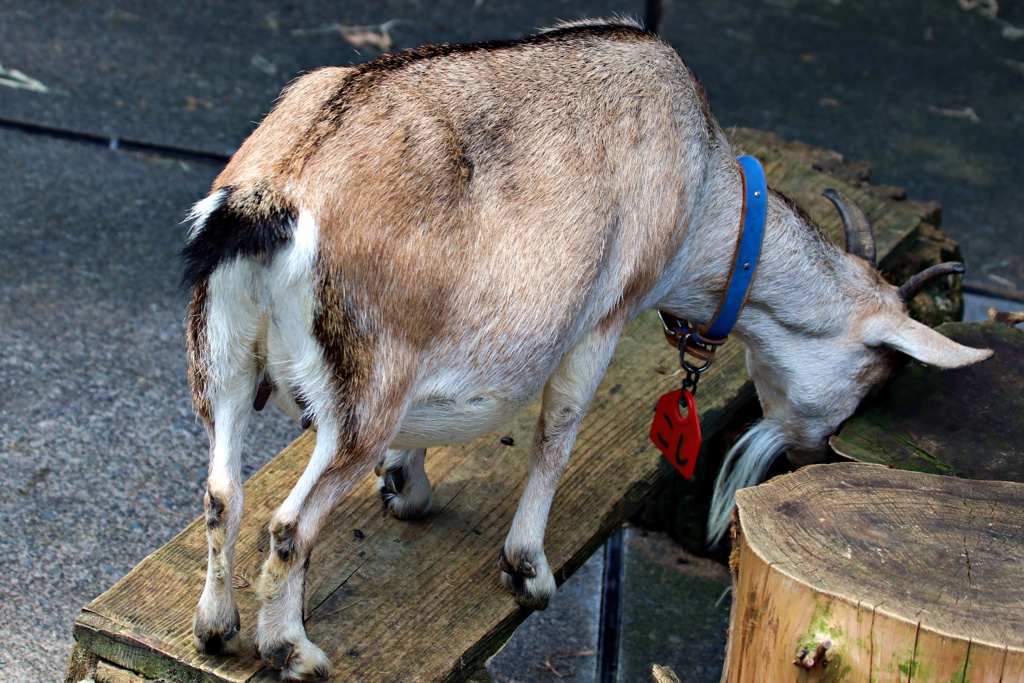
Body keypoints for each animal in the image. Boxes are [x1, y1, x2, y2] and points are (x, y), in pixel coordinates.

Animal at [184, 18, 991, 679]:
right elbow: (558, 430)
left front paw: (408, 489)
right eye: (874, 378)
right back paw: (293, 650)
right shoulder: (604, 313)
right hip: (365, 391)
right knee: (290, 523)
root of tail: (273, 195)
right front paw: (528, 572)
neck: (703, 183)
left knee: (223, 491)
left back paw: (218, 628)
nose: (816, 455)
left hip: (222, 353)